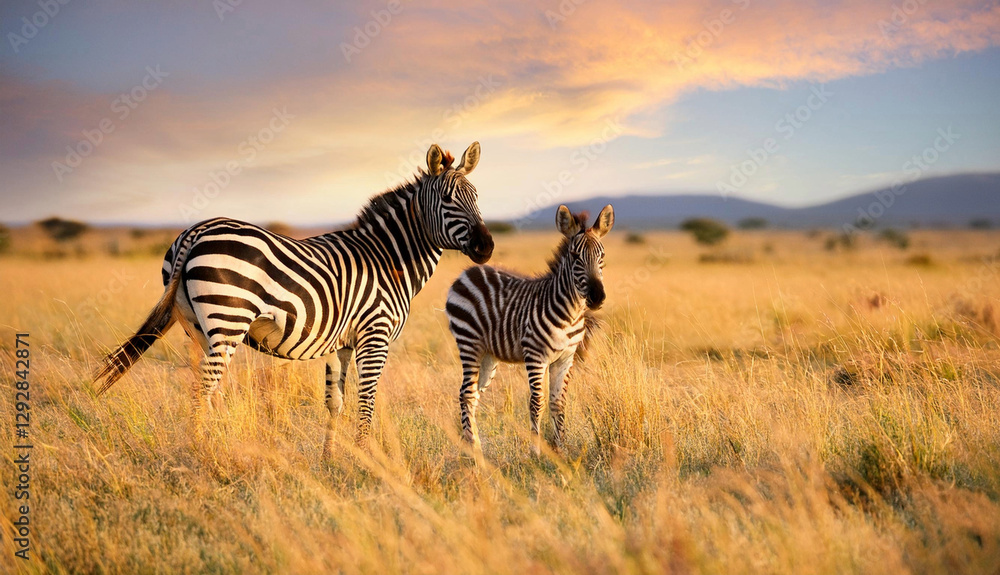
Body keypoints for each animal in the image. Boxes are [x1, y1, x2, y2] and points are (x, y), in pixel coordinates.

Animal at [94, 142, 494, 453]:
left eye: (477, 198)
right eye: (447, 200)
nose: (486, 247)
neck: (388, 258)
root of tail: (198, 230)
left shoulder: (341, 344)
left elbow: (336, 402)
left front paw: (331, 460)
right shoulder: (375, 336)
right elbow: (366, 400)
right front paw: (367, 460)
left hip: (194, 325)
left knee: (208, 385)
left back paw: (222, 440)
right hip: (228, 318)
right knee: (205, 385)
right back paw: (201, 449)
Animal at [446, 204, 614, 456]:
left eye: (601, 256)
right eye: (575, 257)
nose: (597, 297)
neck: (571, 312)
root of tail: (467, 272)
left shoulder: (566, 359)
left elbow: (557, 403)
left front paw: (560, 450)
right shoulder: (536, 356)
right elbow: (537, 403)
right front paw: (536, 452)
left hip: (488, 354)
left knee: (473, 394)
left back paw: (472, 444)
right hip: (469, 342)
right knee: (465, 393)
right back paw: (472, 450)